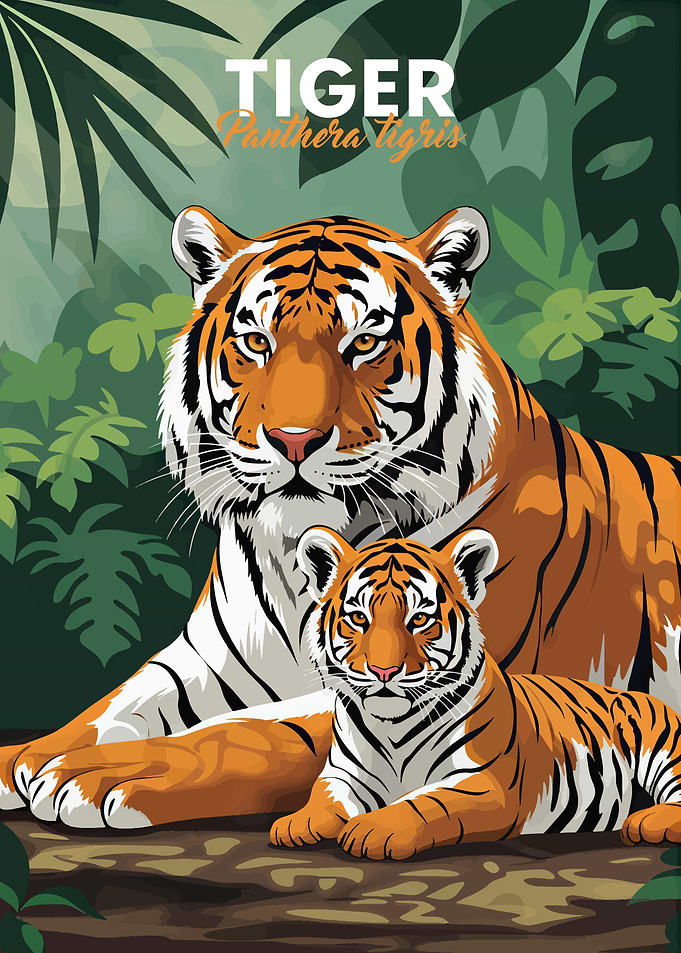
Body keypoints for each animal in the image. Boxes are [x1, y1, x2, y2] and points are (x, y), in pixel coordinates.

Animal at [271, 526, 681, 859]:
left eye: (420, 620)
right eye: (359, 618)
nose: (383, 671)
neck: (393, 725)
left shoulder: (485, 782)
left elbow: (426, 801)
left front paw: (375, 828)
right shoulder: (343, 774)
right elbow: (324, 796)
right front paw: (296, 823)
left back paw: (646, 822)